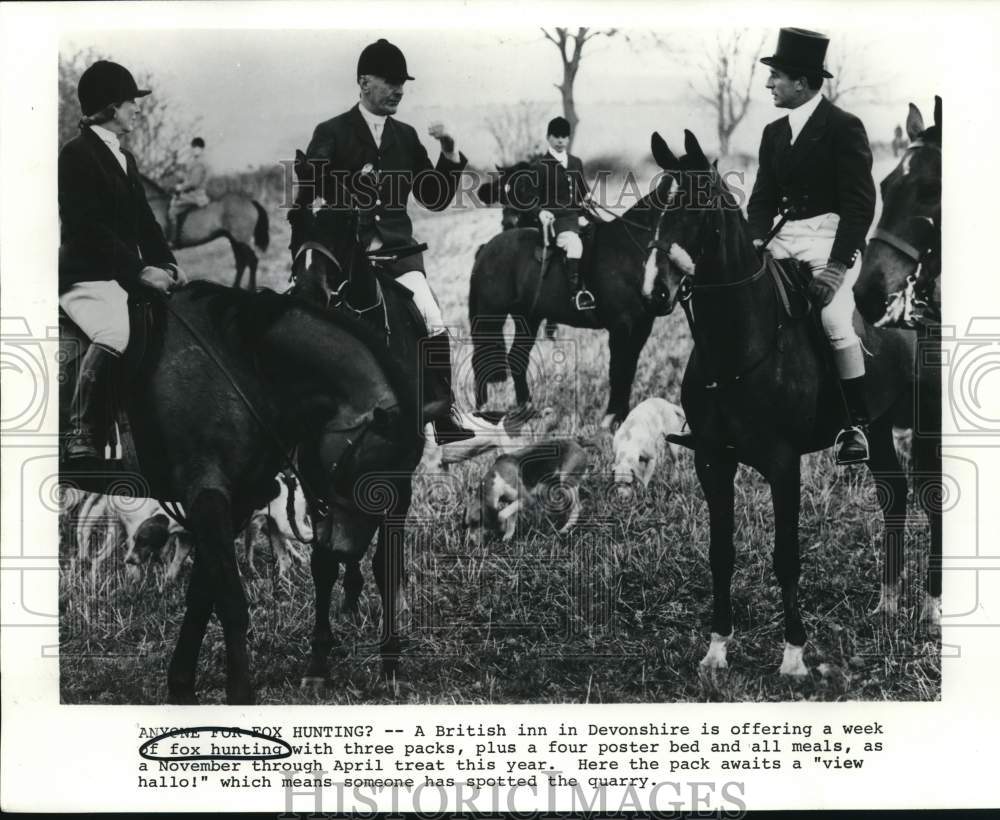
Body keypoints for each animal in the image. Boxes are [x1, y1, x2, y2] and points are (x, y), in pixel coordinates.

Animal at [59, 284, 422, 704]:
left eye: (405, 475)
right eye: (373, 470)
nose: (347, 550)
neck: (241, 364)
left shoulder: (233, 502)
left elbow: (202, 596)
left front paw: (182, 688)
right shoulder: (207, 494)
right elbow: (231, 600)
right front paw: (240, 694)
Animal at [141, 174, 272, 292]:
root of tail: (250, 201)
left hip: (241, 239)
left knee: (252, 261)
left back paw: (252, 288)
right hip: (234, 240)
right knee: (241, 263)